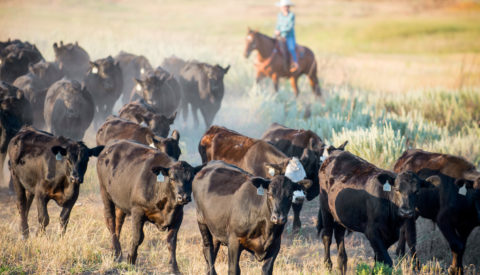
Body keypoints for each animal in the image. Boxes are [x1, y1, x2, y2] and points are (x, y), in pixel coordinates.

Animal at [96, 141, 203, 274]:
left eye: (191, 178)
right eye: (172, 178)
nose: (183, 197)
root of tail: (111, 145)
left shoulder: (178, 216)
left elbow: (171, 242)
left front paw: (174, 268)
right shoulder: (137, 210)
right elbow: (138, 237)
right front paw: (131, 259)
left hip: (120, 201)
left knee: (118, 223)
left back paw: (115, 250)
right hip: (105, 193)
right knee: (110, 221)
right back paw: (116, 253)